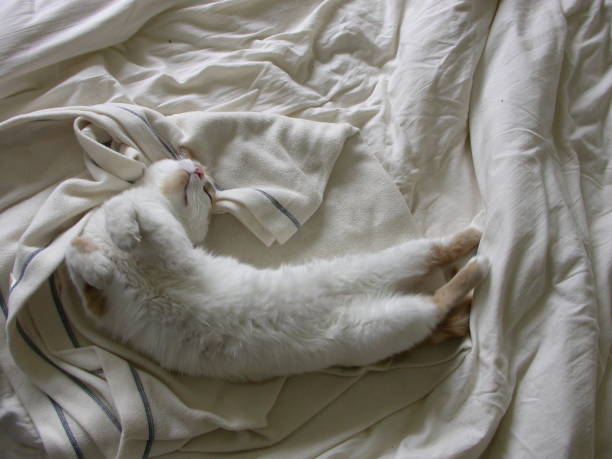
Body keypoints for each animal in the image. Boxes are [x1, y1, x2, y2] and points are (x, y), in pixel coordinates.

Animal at [65, 158, 488, 380]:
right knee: (438, 304)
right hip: (384, 324)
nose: (200, 170)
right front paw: (103, 259)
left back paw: (479, 246)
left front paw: (124, 235)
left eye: (209, 192)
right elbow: (77, 249)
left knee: (439, 262)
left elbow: (138, 215)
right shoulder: (96, 302)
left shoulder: (174, 249)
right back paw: (473, 275)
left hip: (394, 281)